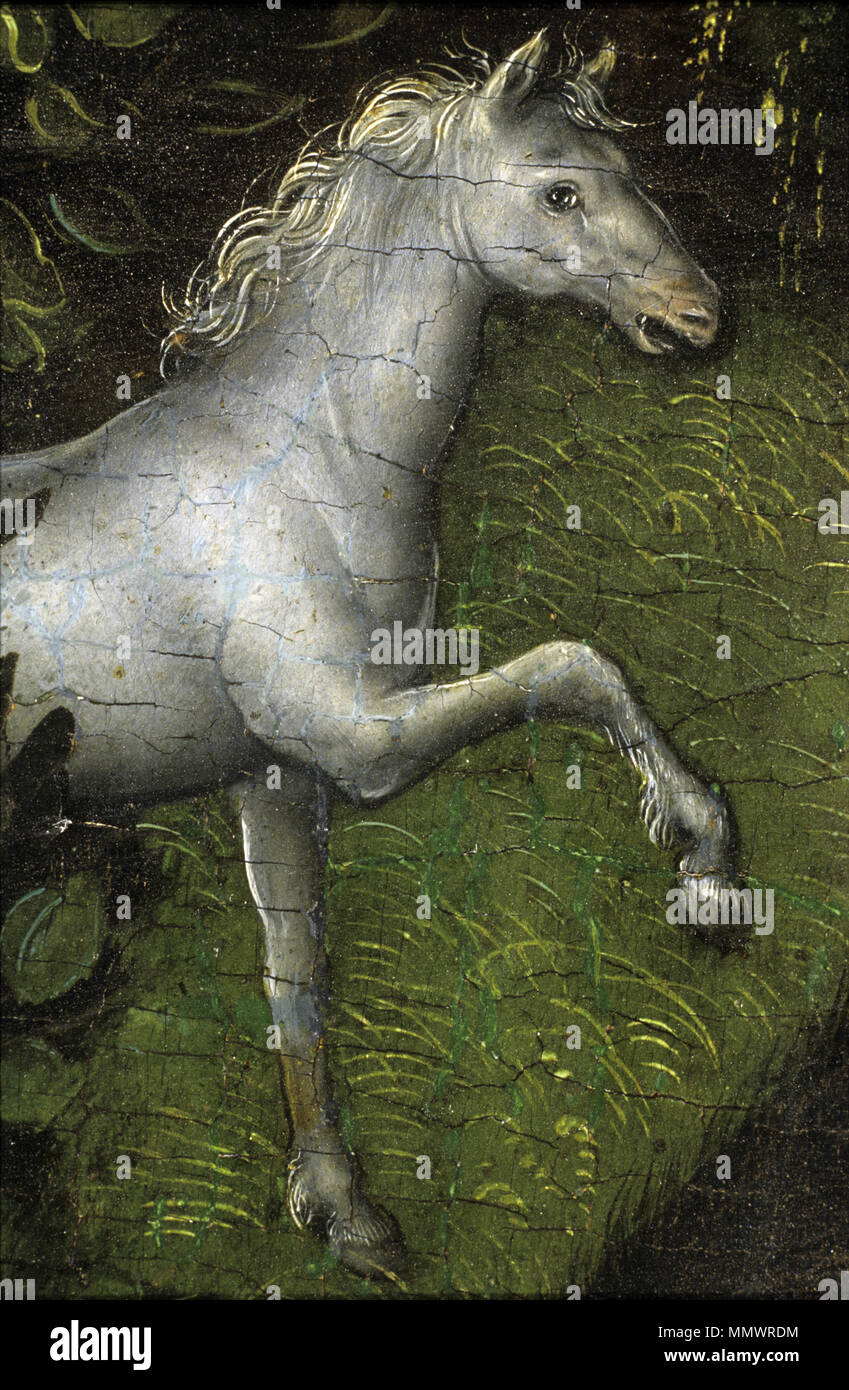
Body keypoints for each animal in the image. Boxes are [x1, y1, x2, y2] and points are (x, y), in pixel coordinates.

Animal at [0, 30, 737, 1278]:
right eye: (561, 190)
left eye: (629, 168)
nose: (698, 314)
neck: (310, 455)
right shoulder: (356, 741)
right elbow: (576, 667)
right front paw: (706, 860)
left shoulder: (279, 780)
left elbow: (296, 982)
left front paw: (343, 1212)